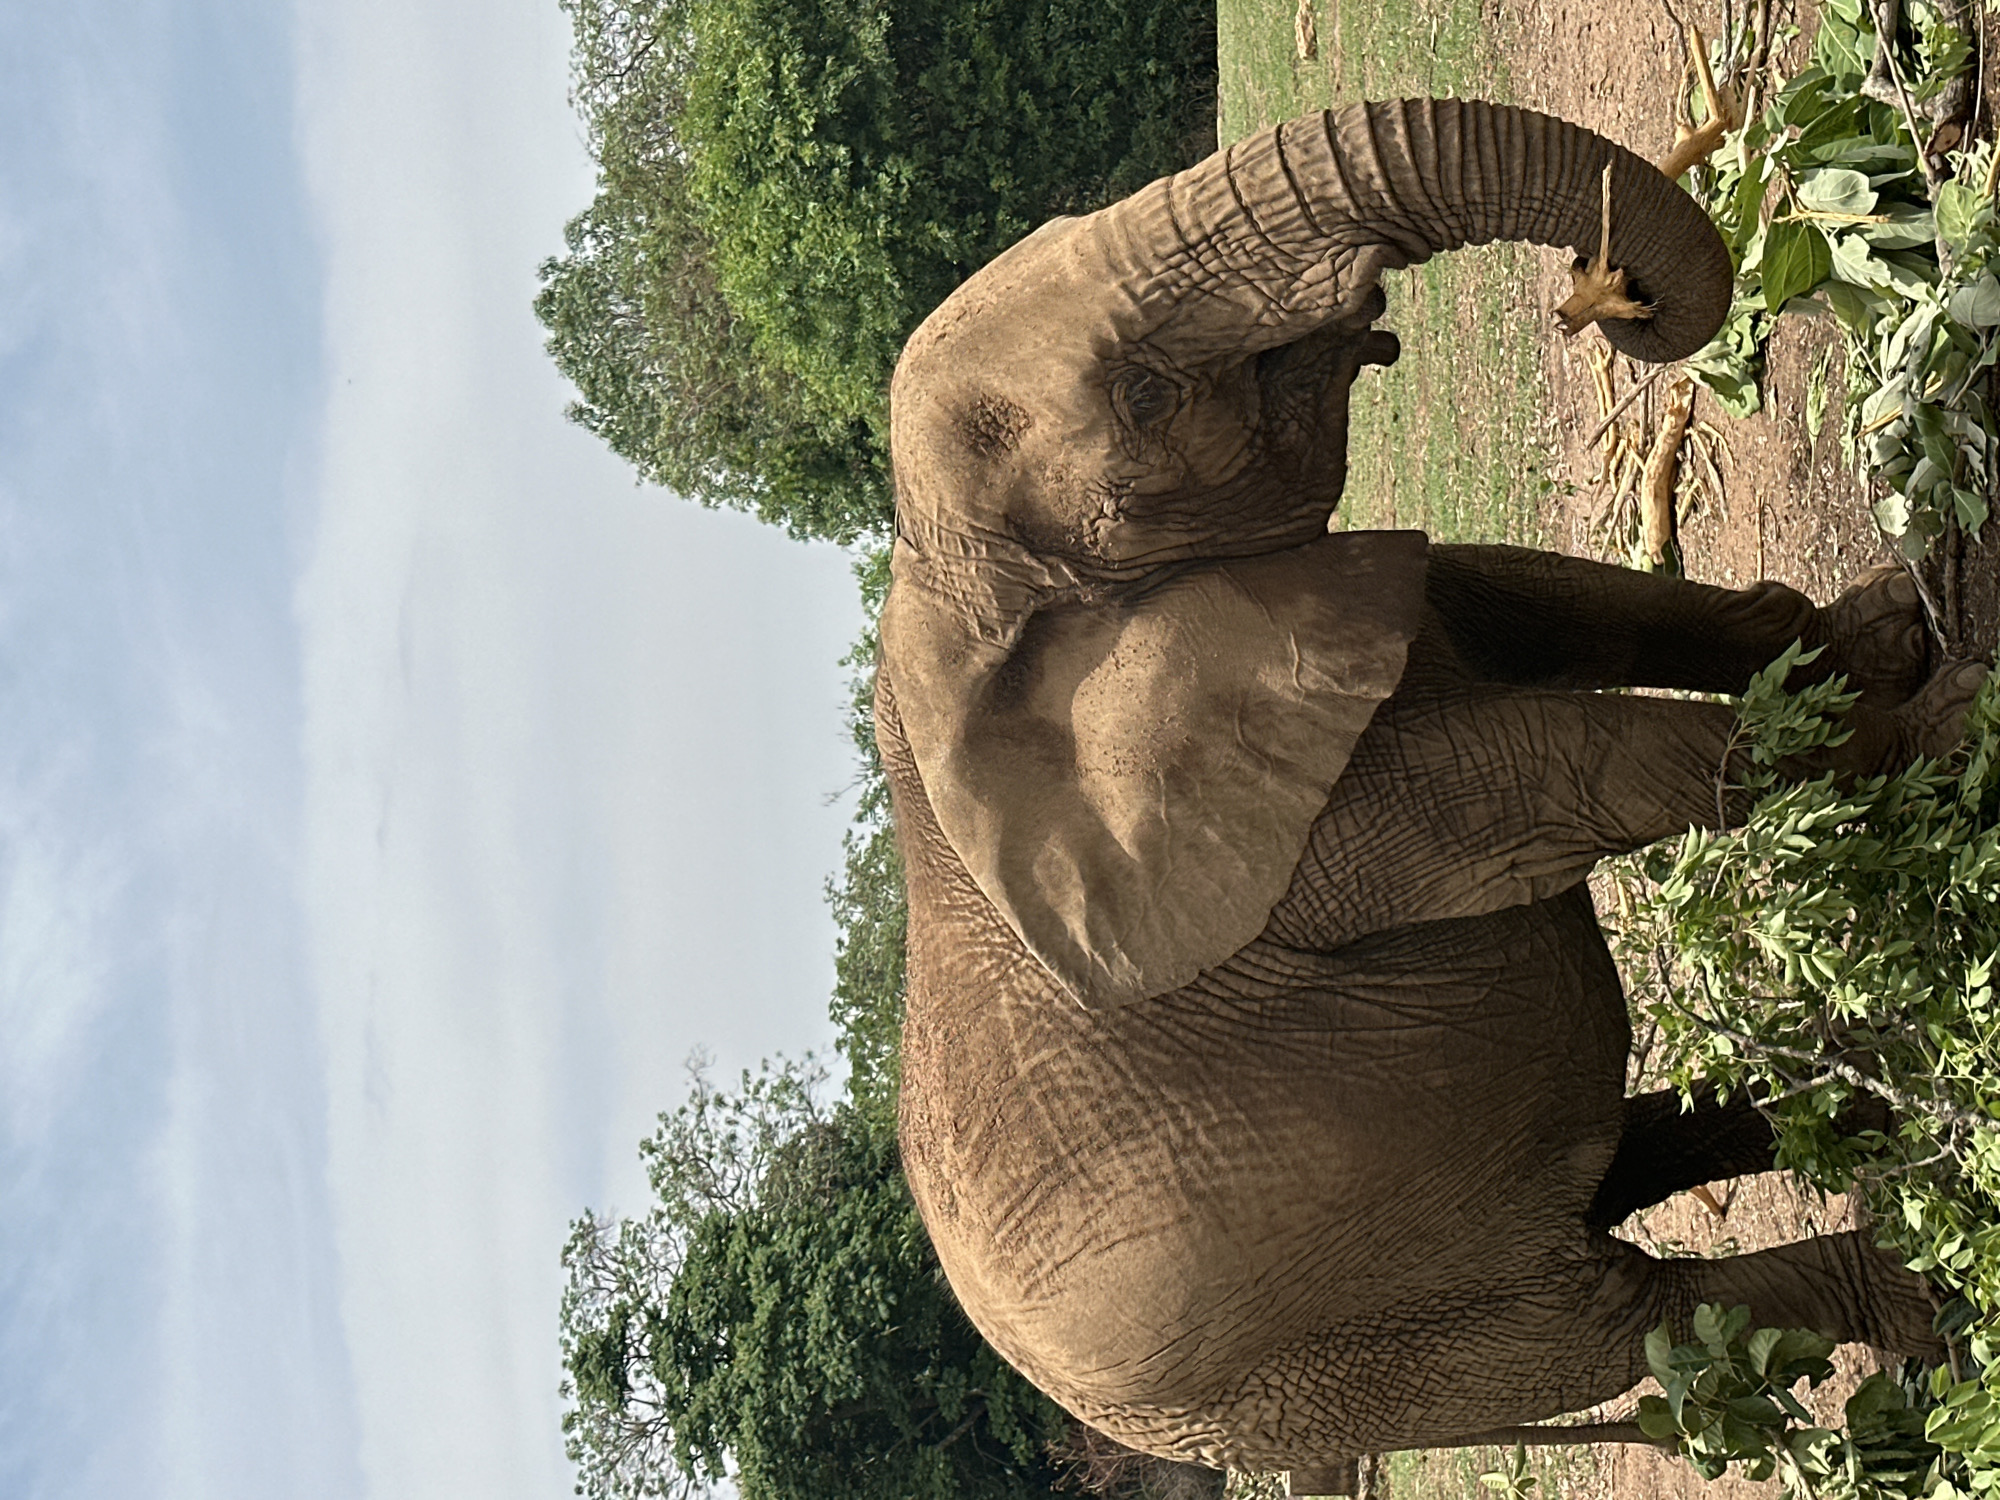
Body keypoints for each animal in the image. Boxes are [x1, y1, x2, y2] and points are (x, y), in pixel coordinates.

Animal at [874, 97, 1985, 1480]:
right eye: (1139, 393)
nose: (1604, 296)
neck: (934, 590)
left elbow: (1553, 604)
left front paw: (1878, 639)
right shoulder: (1292, 842)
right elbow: (1568, 760)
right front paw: (1952, 717)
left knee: (1623, 1160)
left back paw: (1850, 1106)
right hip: (1339, 1359)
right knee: (1627, 1322)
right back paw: (1918, 1286)